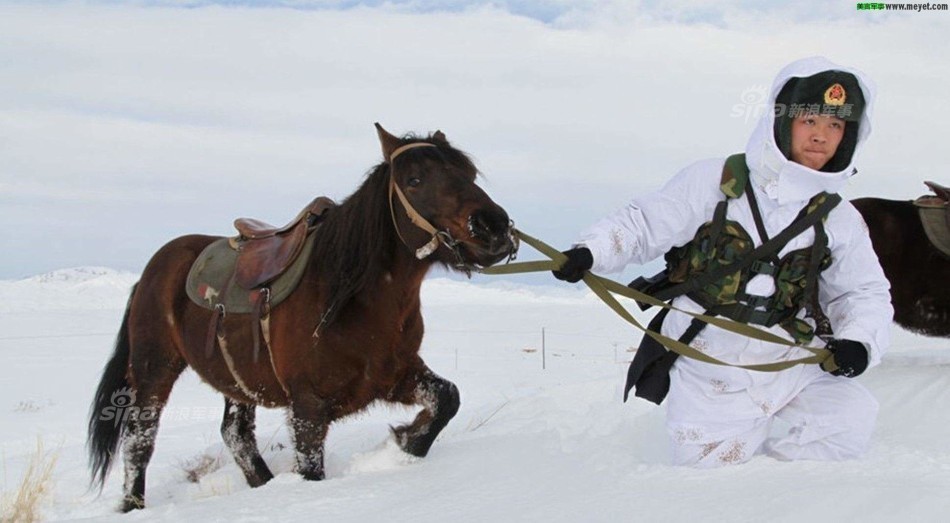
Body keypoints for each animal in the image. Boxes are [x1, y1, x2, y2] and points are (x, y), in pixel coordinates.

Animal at [89, 124, 520, 512]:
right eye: (414, 181)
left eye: (469, 173)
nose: (492, 227)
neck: (350, 295)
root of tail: (153, 269)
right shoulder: (308, 406)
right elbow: (312, 471)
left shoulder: (395, 374)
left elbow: (448, 397)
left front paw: (405, 442)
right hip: (155, 368)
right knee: (140, 439)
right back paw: (133, 505)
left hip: (237, 382)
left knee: (236, 435)